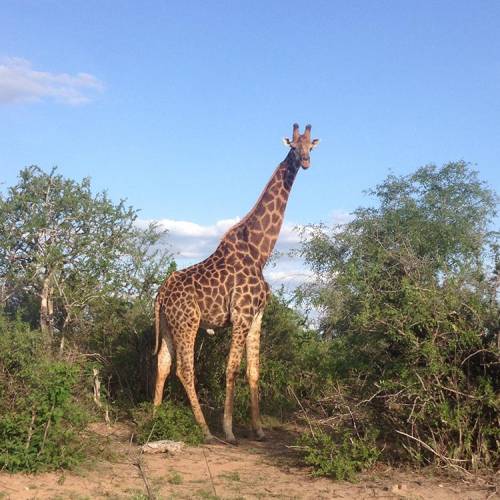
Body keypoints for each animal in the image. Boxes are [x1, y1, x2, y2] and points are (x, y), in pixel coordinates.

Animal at [152, 124, 318, 442]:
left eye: (311, 147)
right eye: (293, 147)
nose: (305, 162)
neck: (259, 251)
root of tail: (161, 293)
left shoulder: (257, 316)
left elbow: (254, 370)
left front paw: (259, 429)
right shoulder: (241, 315)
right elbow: (231, 369)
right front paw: (229, 430)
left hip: (167, 324)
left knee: (163, 364)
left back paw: (152, 420)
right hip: (188, 323)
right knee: (185, 370)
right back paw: (205, 430)